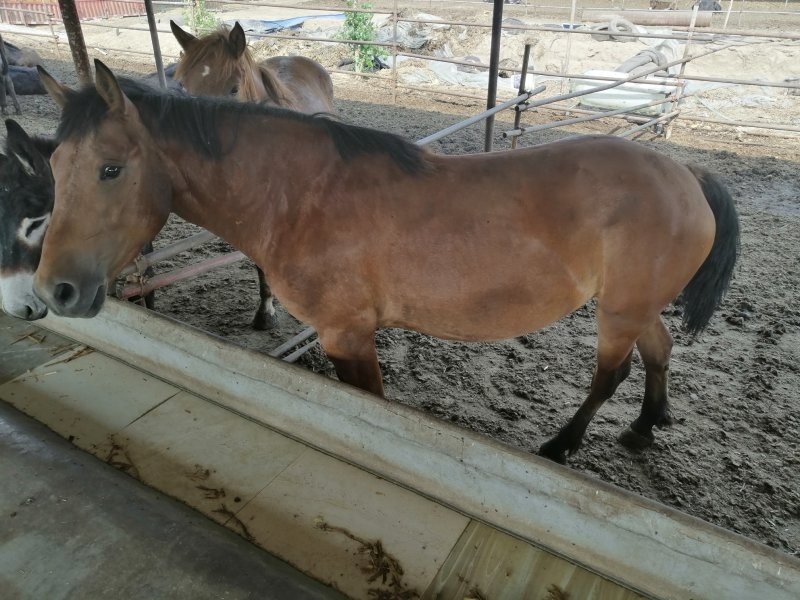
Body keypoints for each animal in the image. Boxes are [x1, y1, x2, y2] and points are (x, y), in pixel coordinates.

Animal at [34, 61, 739, 464]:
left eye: (110, 169)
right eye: (53, 164)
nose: (54, 290)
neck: (299, 196)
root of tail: (685, 174)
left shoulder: (347, 335)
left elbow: (370, 407)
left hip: (617, 312)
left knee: (610, 375)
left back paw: (563, 445)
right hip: (634, 304)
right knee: (659, 348)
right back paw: (646, 427)